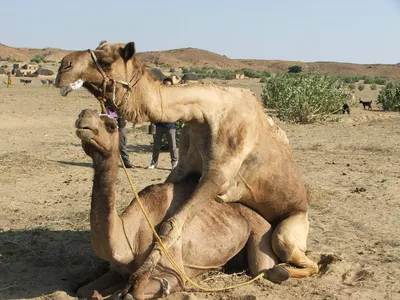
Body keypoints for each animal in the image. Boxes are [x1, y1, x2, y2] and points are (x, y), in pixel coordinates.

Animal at [74, 109, 290, 298]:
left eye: (111, 126)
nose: (83, 118)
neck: (129, 236)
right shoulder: (120, 270)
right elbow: (83, 290)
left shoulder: (173, 270)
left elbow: (140, 290)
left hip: (260, 231)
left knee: (262, 268)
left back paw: (280, 272)